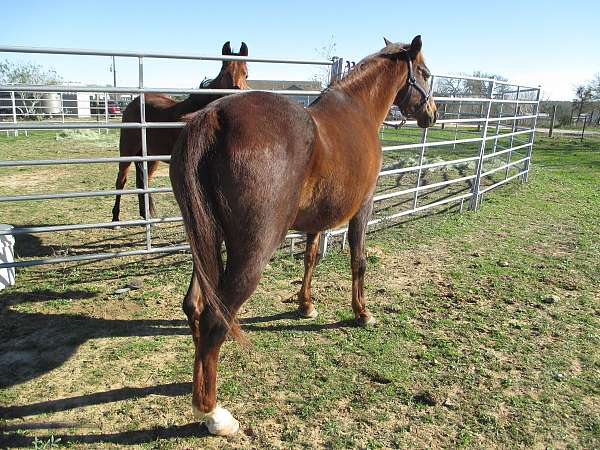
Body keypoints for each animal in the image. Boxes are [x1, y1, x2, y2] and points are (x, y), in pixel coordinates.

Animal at [111, 41, 250, 222]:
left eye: (246, 74)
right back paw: (115, 218)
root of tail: (133, 103)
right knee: (121, 180)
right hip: (127, 152)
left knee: (143, 182)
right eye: (224, 73)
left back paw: (146, 214)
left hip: (151, 157)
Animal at [169, 36, 436, 436]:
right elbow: (358, 259)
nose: (431, 114)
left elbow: (311, 257)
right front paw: (362, 312)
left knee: (195, 306)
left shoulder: (315, 219)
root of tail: (214, 117)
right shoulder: (364, 206)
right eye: (425, 73)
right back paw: (213, 414)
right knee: (216, 319)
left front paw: (305, 305)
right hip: (252, 251)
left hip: (205, 242)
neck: (358, 109)